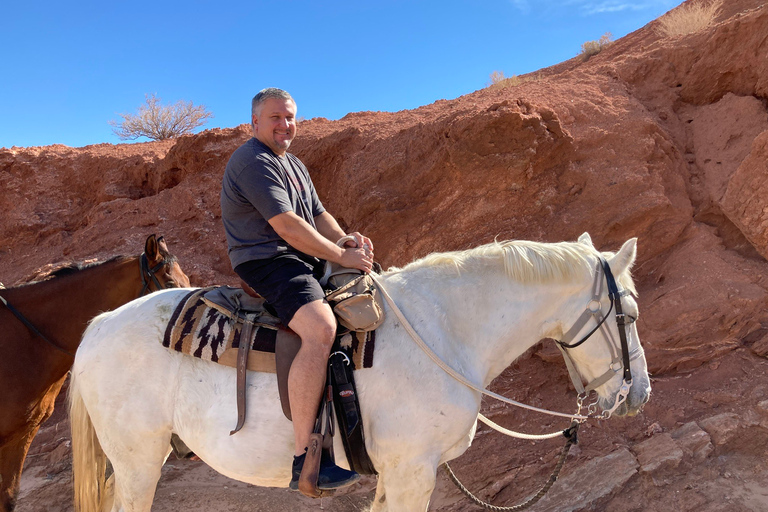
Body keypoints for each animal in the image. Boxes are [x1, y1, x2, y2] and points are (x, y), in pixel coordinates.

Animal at [70, 233, 648, 512]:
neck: (446, 329)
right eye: (631, 315)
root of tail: (98, 326)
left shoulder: (394, 474)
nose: (638, 393)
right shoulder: (414, 472)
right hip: (138, 461)